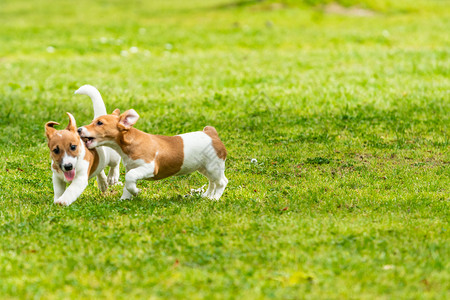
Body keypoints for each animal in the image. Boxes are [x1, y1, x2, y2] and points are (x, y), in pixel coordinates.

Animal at [77, 109, 229, 200]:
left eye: (99, 123)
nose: (78, 129)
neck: (130, 143)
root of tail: (211, 133)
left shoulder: (149, 167)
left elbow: (130, 178)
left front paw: (136, 192)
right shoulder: (131, 168)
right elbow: (127, 183)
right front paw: (124, 199)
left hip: (213, 166)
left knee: (222, 182)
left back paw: (214, 198)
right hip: (205, 168)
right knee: (212, 182)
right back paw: (207, 196)